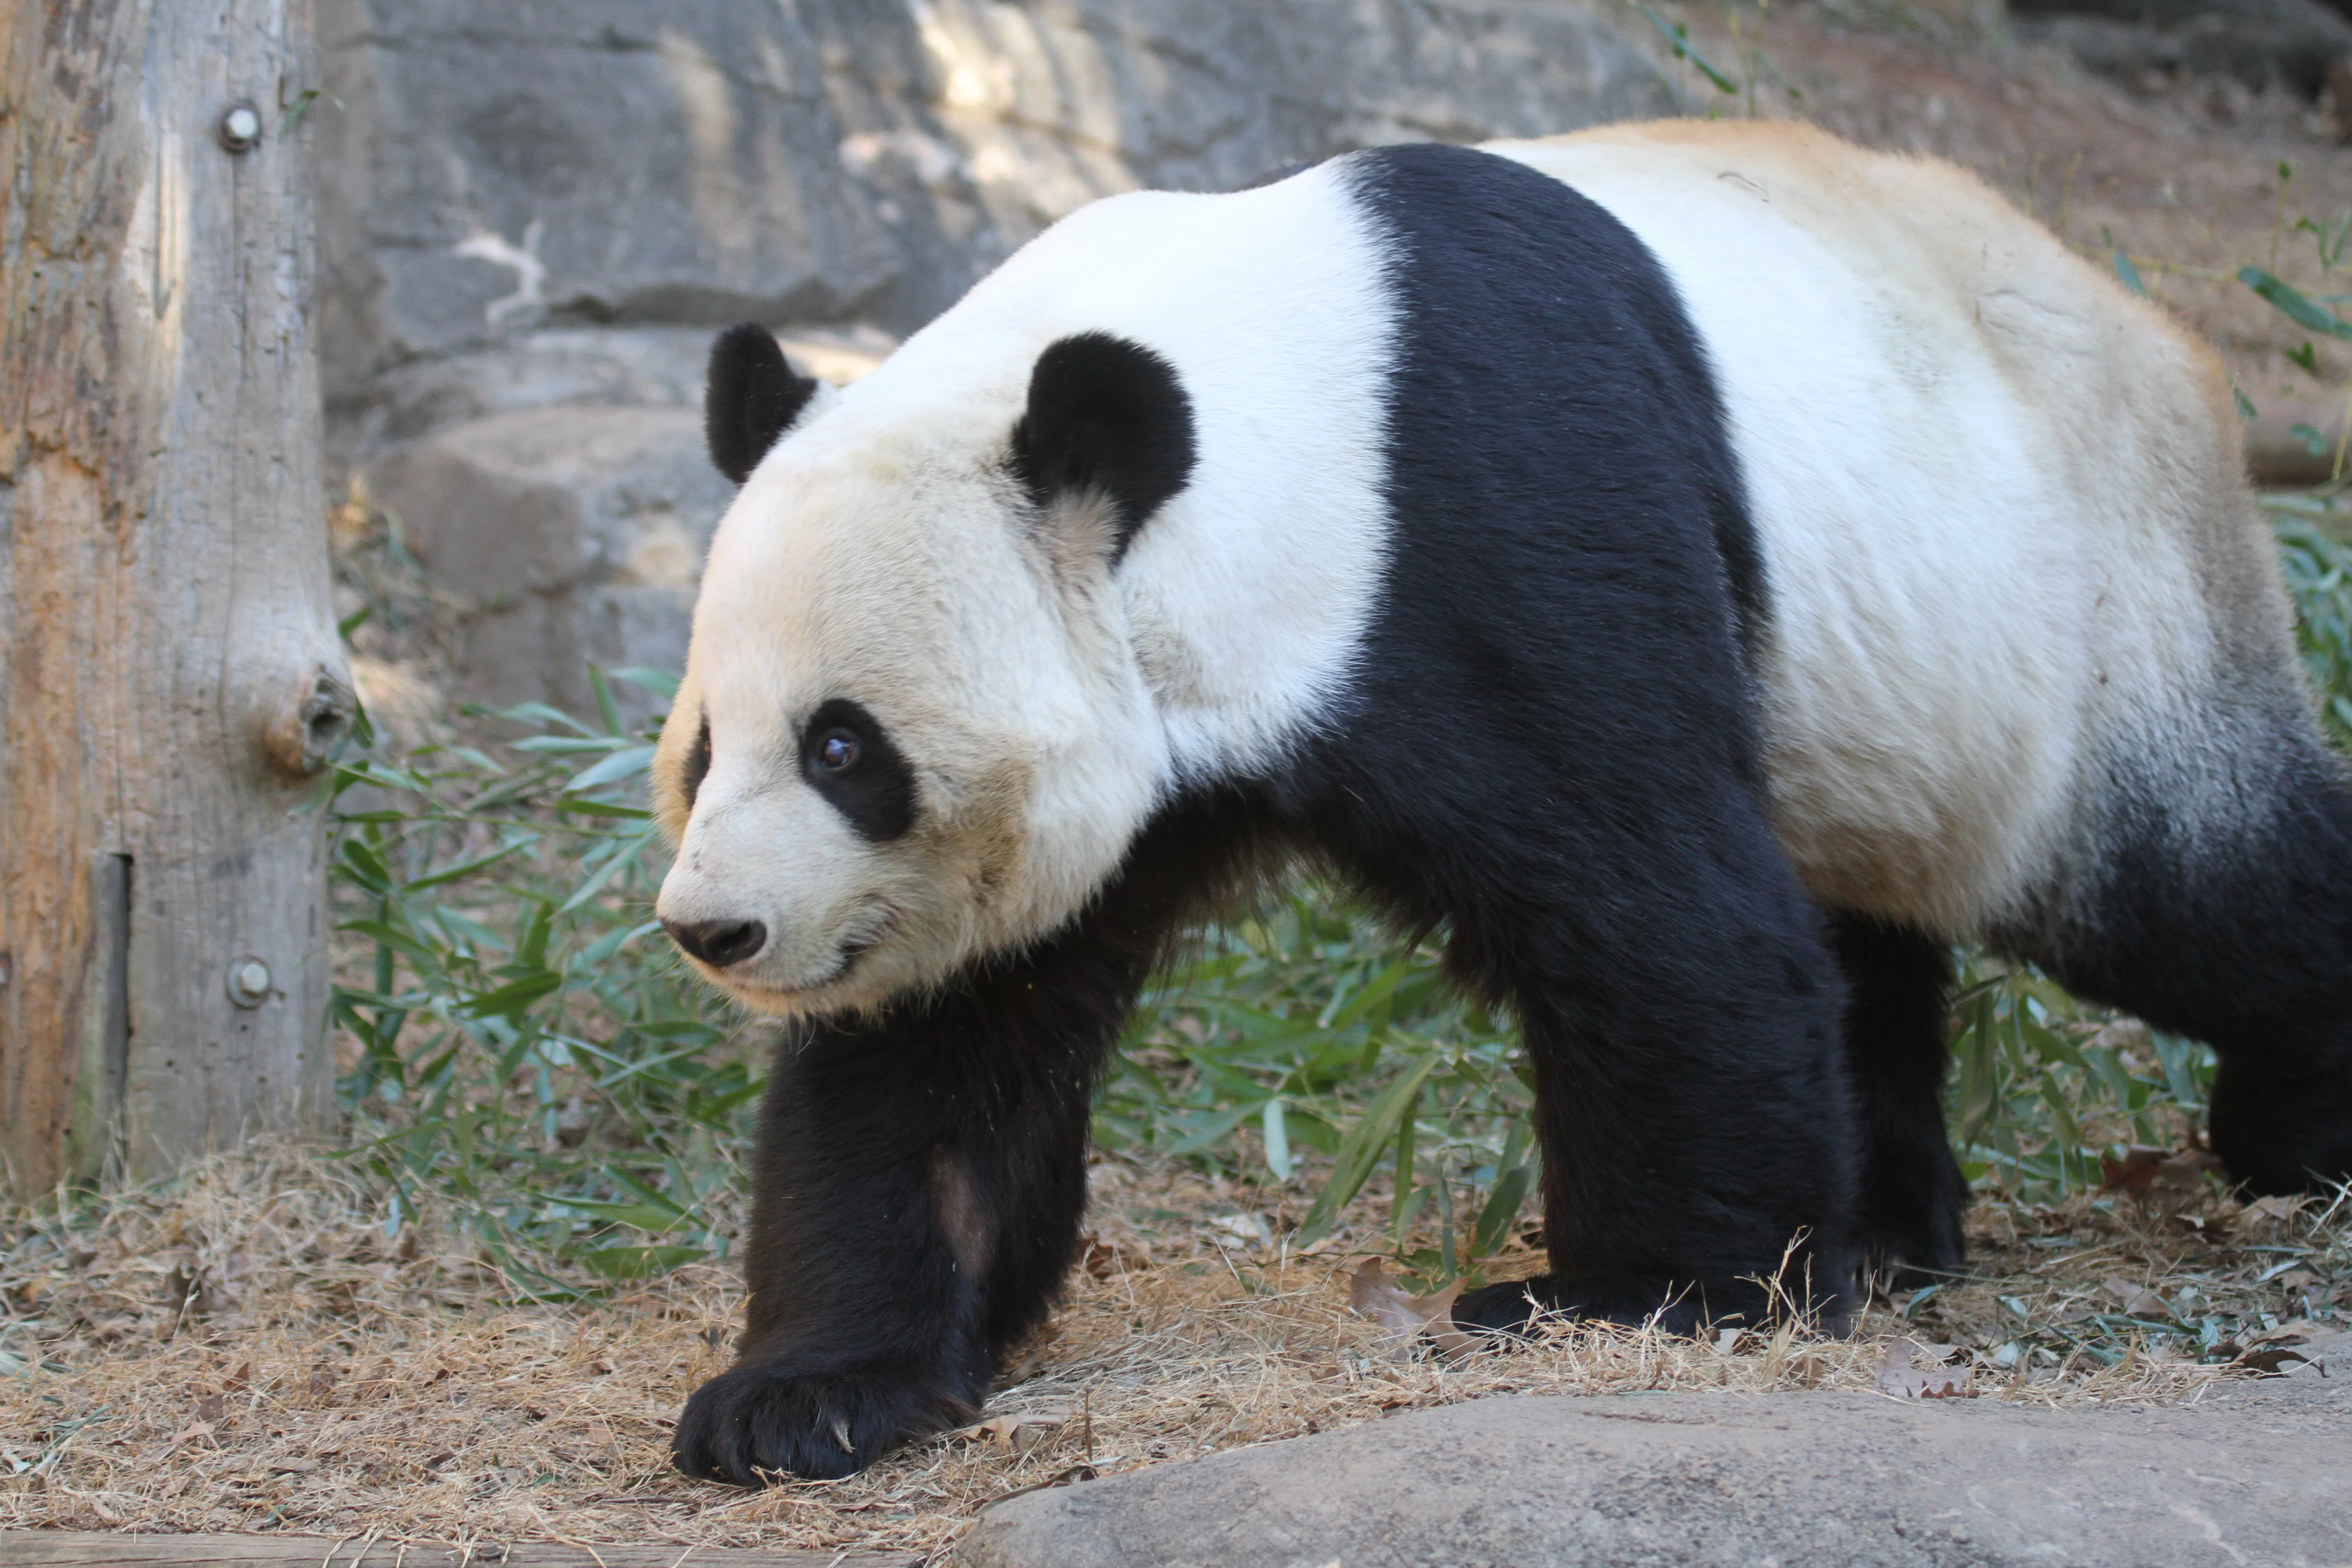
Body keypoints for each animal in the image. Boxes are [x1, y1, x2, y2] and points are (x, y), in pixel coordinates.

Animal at [649, 118, 2352, 1484]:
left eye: (846, 749)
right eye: (705, 748)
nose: (713, 930)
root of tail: (2158, 335)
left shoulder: (1489, 523)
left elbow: (1658, 916)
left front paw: (1632, 1296)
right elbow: (951, 1046)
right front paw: (811, 1393)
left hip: (2086, 604)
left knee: (2189, 881)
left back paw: (2292, 1127)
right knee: (1861, 927)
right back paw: (1880, 1223)